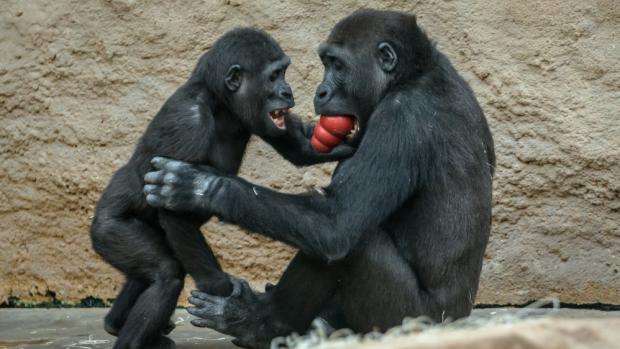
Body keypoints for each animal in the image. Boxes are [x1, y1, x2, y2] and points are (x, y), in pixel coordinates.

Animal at [91, 27, 354, 348]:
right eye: (274, 76)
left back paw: (116, 322)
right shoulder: (188, 123)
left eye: (284, 72)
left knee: (148, 273)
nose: (287, 91)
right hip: (109, 230)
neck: (219, 102)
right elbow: (173, 209)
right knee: (164, 274)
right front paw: (225, 294)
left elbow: (301, 146)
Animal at [143, 8, 496, 348]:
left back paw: (258, 324)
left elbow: (336, 222)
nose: (321, 91)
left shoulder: (400, 117)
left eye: (337, 65)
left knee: (352, 241)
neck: (412, 75)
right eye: (326, 63)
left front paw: (198, 187)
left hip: (412, 322)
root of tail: (461, 320)